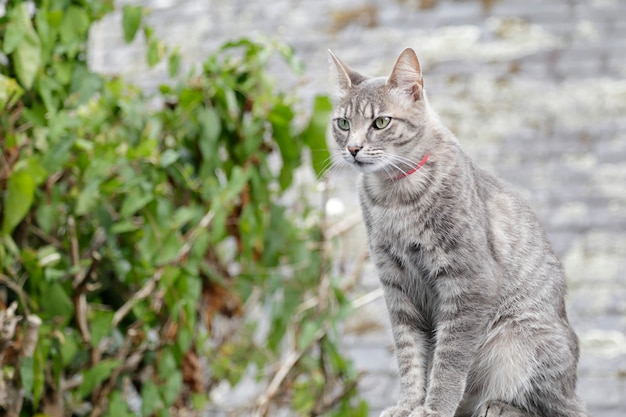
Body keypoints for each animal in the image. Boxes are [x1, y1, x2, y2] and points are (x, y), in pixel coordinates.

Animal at [330, 46, 588, 416]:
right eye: (343, 123)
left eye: (380, 122)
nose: (352, 148)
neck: (395, 198)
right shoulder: (397, 288)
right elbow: (410, 357)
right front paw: (408, 404)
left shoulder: (468, 283)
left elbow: (449, 361)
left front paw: (433, 408)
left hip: (518, 339)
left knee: (554, 407)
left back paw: (499, 405)